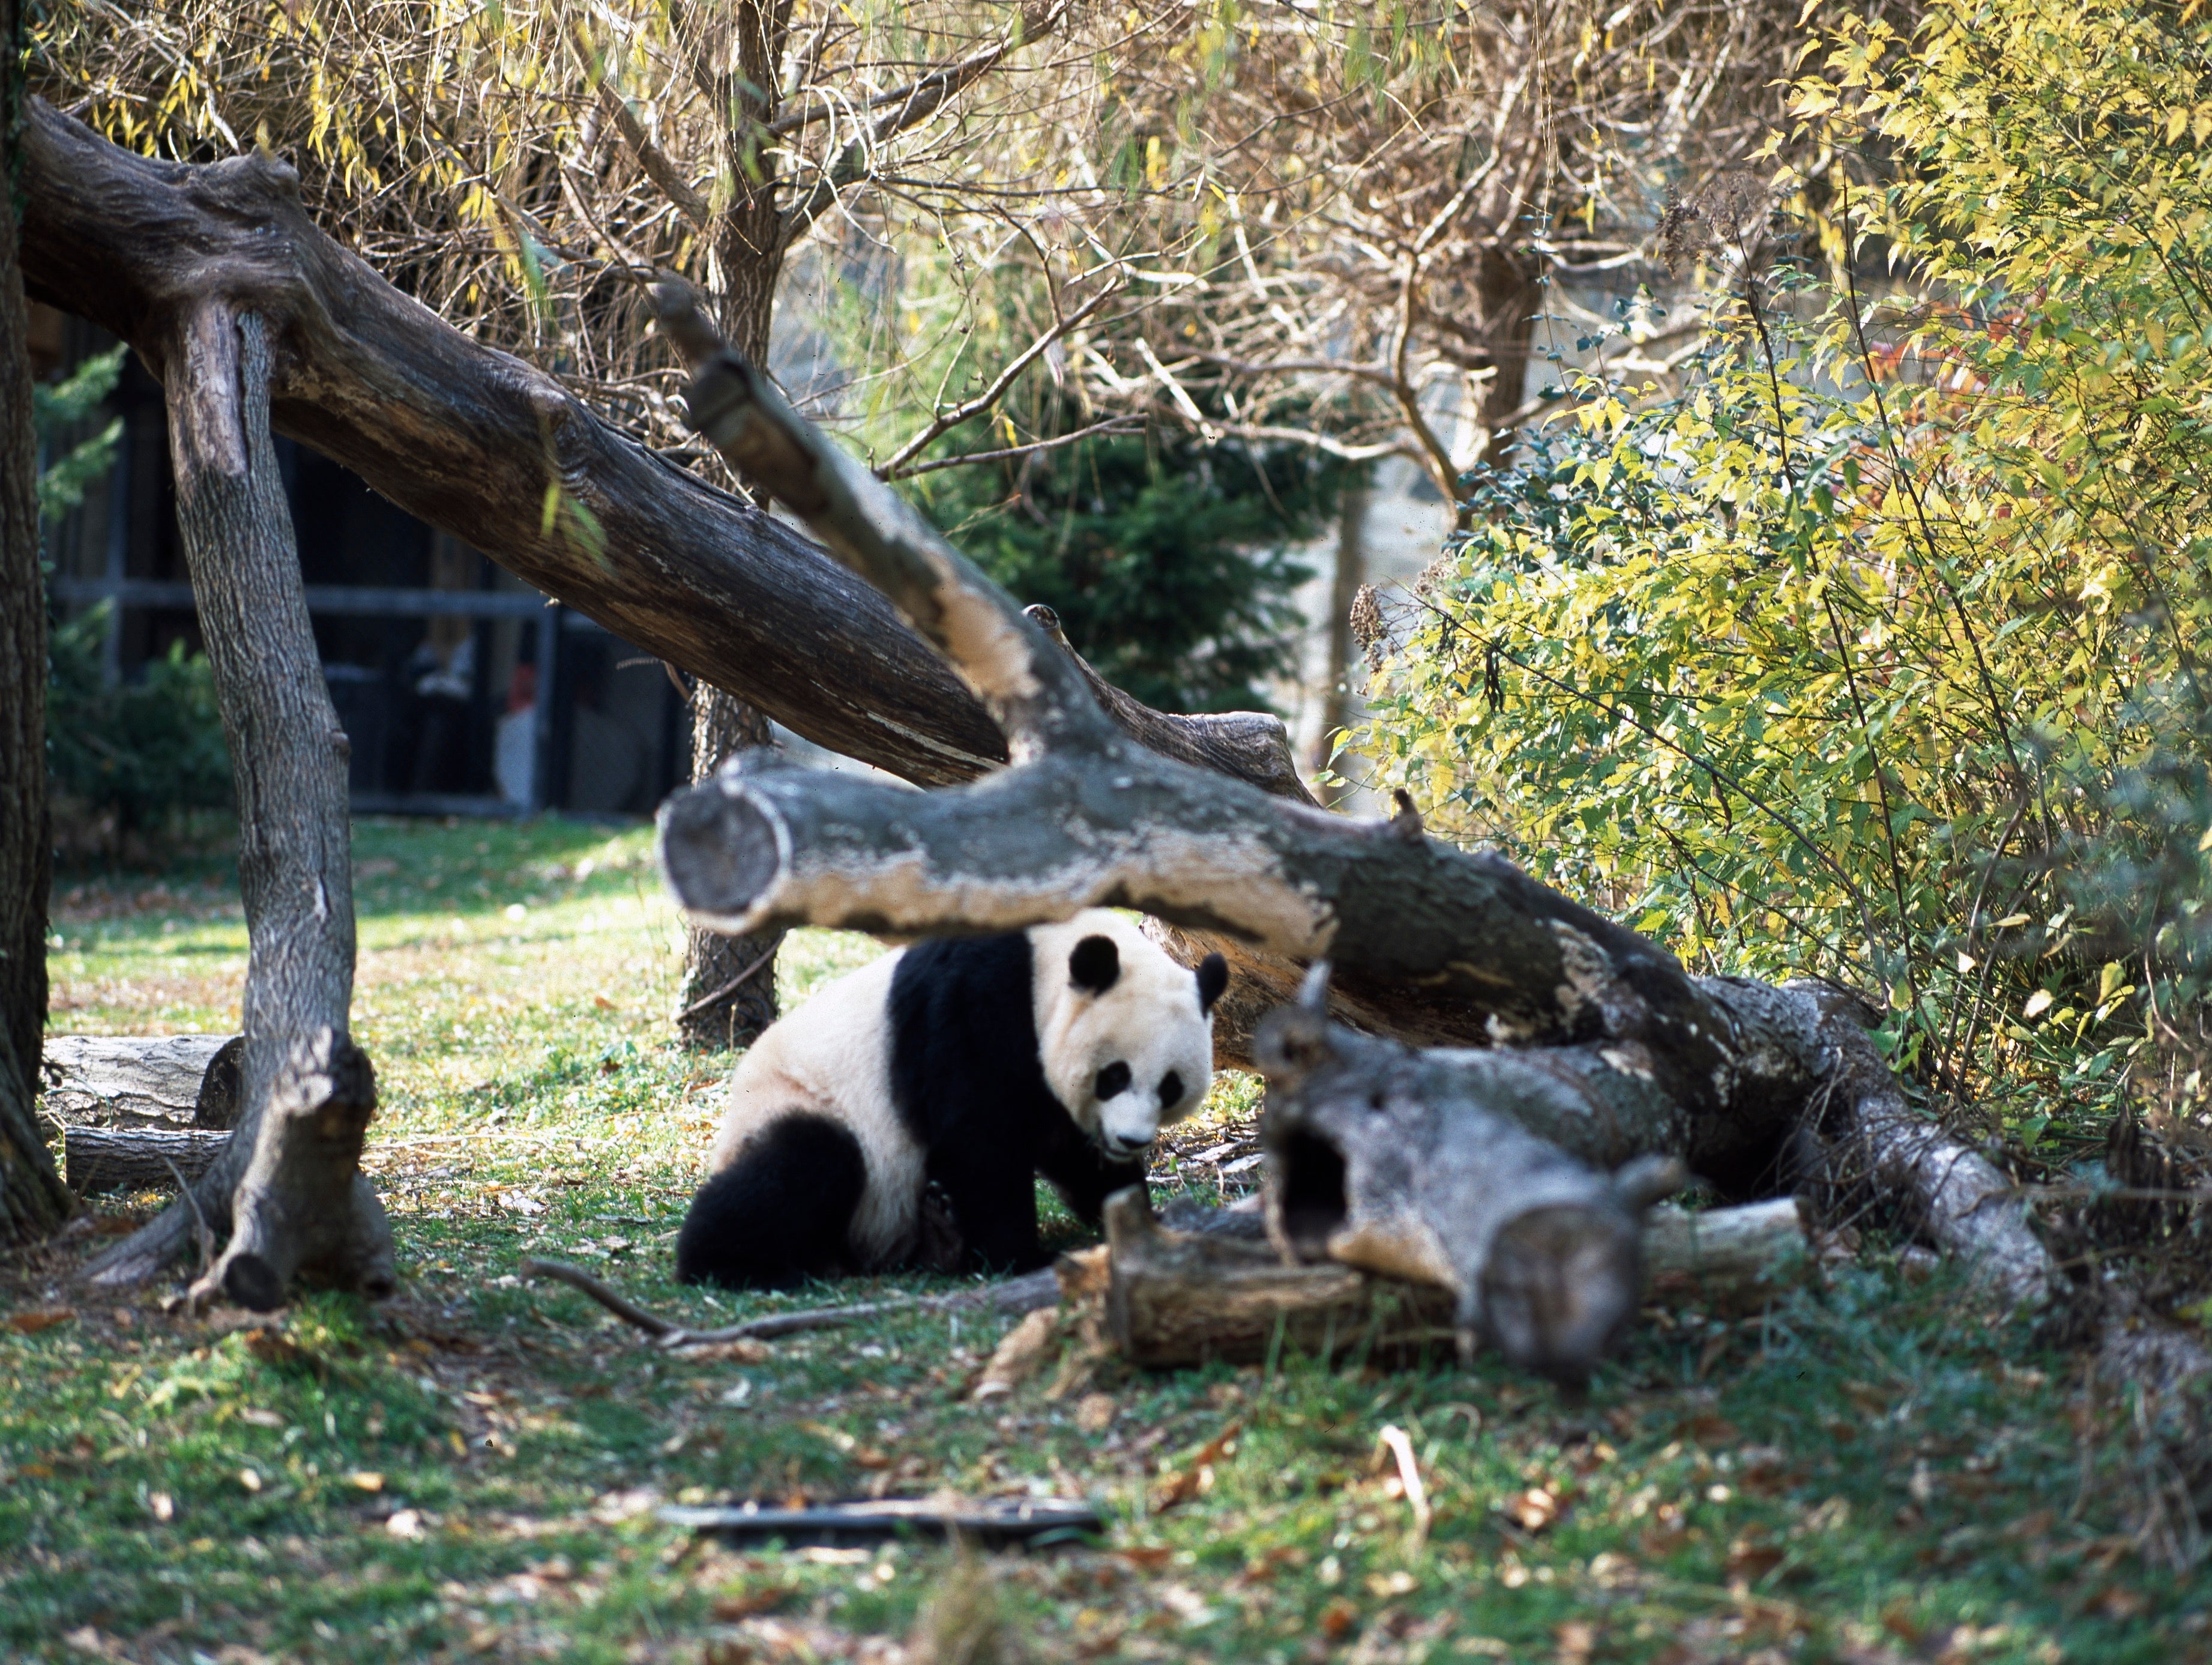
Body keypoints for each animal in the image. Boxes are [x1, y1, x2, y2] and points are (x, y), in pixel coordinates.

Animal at [675, 910, 1229, 1289]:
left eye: (1169, 1086)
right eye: (1113, 1076)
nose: (1129, 1139)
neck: (1044, 962)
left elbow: (1071, 1151)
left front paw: (1137, 1219)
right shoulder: (973, 1008)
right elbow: (978, 1141)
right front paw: (1022, 1257)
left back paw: (940, 1232)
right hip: (800, 1104)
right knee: (805, 1162)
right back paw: (731, 1262)